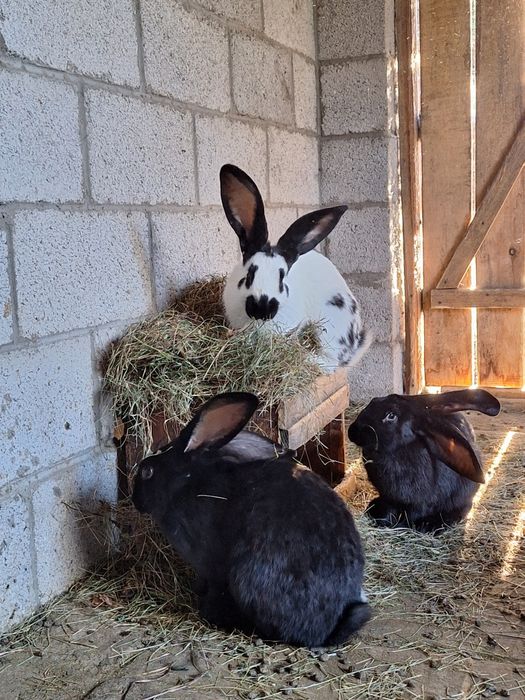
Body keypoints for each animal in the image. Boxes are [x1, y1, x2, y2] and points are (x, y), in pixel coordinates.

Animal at [347, 389, 501, 533]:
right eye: (373, 400)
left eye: (391, 415)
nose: (352, 432)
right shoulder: (388, 497)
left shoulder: (422, 502)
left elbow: (413, 515)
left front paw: (410, 525)